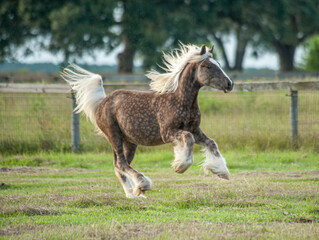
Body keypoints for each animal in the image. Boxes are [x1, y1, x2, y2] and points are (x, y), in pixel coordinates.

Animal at [61, 43, 234, 199]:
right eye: (208, 66)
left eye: (218, 64)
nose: (230, 84)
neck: (180, 101)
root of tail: (102, 102)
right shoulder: (168, 133)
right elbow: (188, 139)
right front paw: (180, 166)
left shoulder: (195, 129)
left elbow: (211, 143)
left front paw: (222, 172)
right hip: (114, 136)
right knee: (121, 164)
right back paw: (143, 184)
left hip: (129, 142)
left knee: (119, 166)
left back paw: (133, 193)